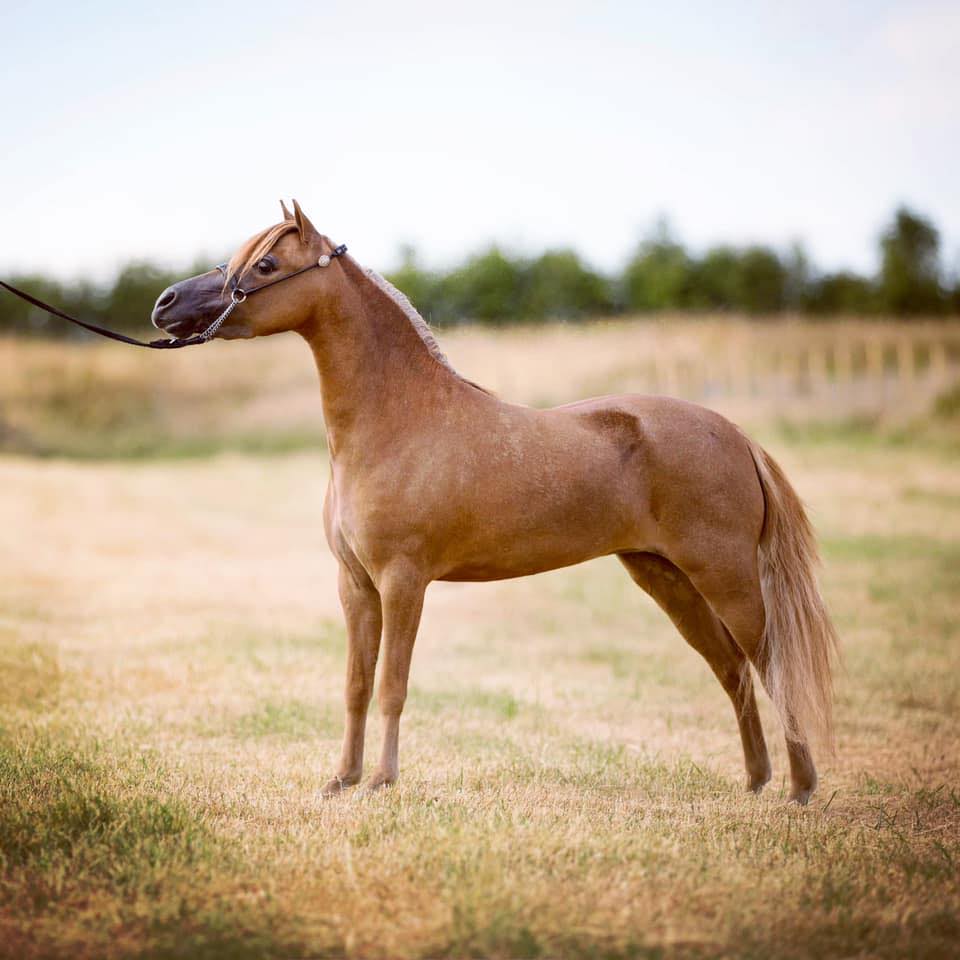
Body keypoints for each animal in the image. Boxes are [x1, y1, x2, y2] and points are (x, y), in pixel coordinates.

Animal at [152, 200, 839, 803]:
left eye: (265, 265)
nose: (165, 305)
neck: (396, 420)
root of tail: (736, 435)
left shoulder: (404, 581)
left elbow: (392, 685)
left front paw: (381, 782)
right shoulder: (355, 585)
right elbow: (355, 685)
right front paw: (340, 781)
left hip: (726, 577)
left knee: (772, 666)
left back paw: (800, 790)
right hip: (664, 577)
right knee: (733, 671)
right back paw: (755, 782)